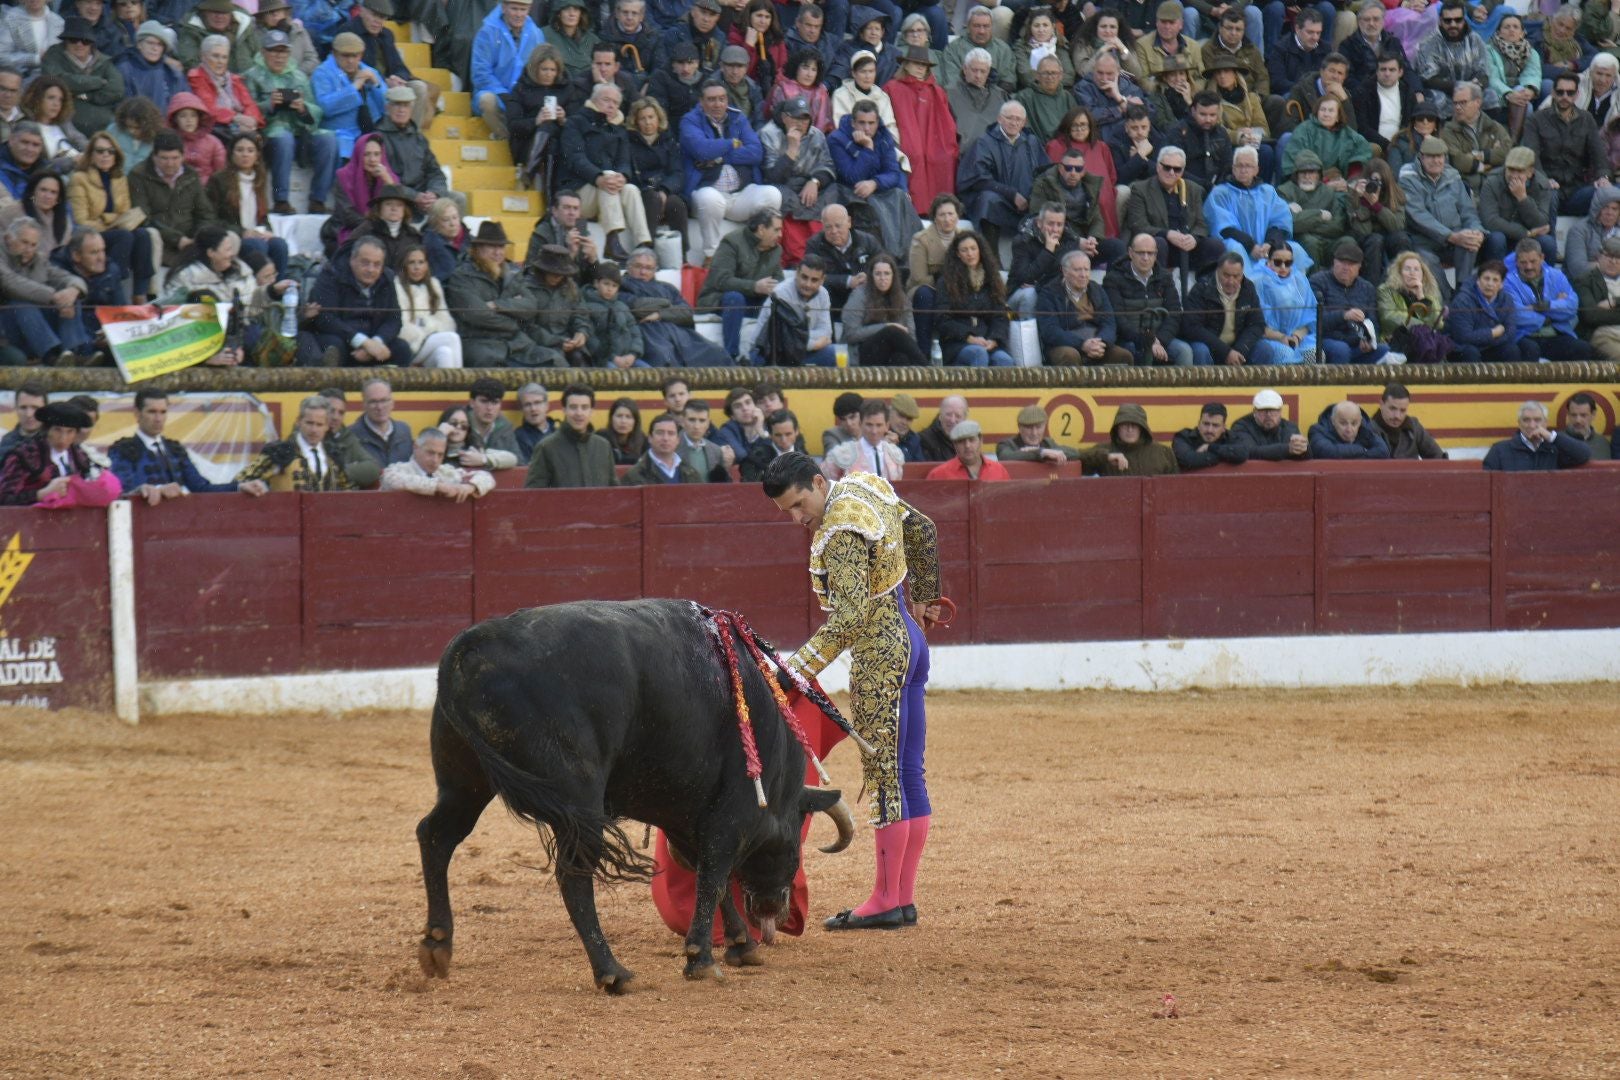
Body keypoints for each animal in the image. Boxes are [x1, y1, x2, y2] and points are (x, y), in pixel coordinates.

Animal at [411, 595, 855, 990]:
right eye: (796, 847)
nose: (777, 913)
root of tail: (473, 644)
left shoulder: (685, 813)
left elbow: (706, 871)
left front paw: (740, 944)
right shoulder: (733, 810)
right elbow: (715, 872)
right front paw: (702, 959)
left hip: (464, 782)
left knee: (436, 835)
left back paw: (437, 944)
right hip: (578, 802)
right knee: (573, 876)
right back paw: (612, 972)